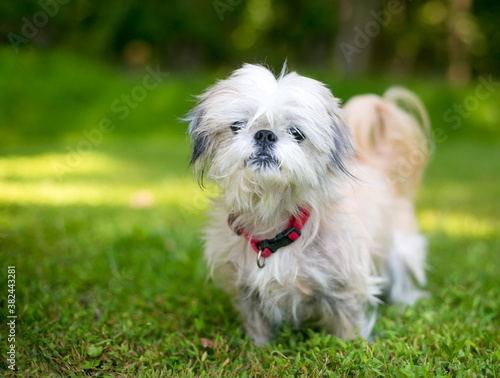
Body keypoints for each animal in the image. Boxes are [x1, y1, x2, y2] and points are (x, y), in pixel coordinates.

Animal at [186, 65, 432, 346]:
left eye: (296, 133)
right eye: (237, 126)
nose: (265, 134)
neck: (273, 223)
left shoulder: (345, 287)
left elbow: (349, 326)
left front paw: (352, 348)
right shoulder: (247, 292)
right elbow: (257, 326)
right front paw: (256, 349)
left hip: (400, 251)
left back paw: (405, 301)